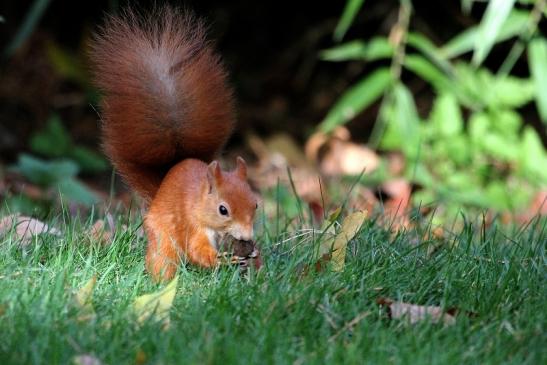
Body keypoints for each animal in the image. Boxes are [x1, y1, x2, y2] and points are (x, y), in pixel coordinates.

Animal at [89, 5, 260, 280]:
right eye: (223, 209)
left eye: (255, 204)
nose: (246, 237)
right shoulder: (192, 223)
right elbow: (197, 250)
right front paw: (222, 259)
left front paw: (252, 252)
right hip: (163, 238)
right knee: (164, 258)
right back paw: (164, 282)